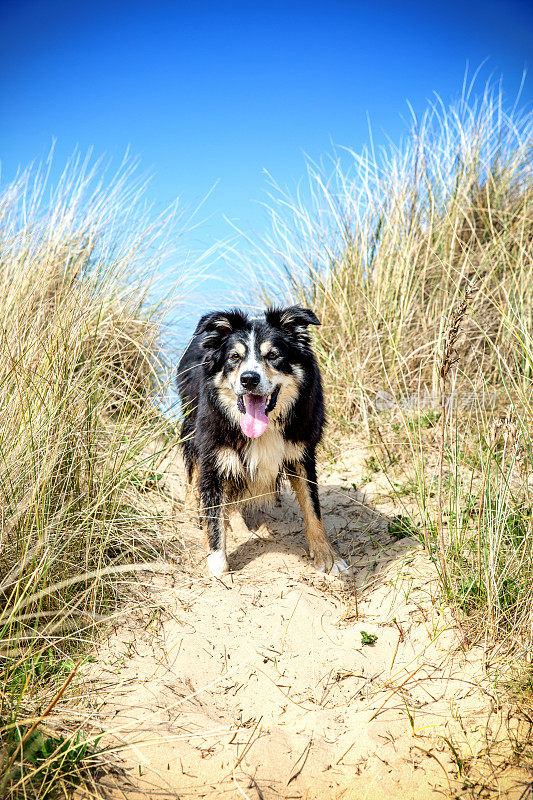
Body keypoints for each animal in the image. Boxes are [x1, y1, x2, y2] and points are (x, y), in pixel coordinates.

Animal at [177, 304, 348, 580]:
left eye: (273, 355)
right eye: (235, 357)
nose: (249, 379)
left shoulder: (301, 450)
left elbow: (313, 508)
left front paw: (327, 558)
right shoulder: (214, 451)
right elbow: (213, 517)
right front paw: (218, 569)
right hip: (193, 425)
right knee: (194, 469)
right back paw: (195, 509)